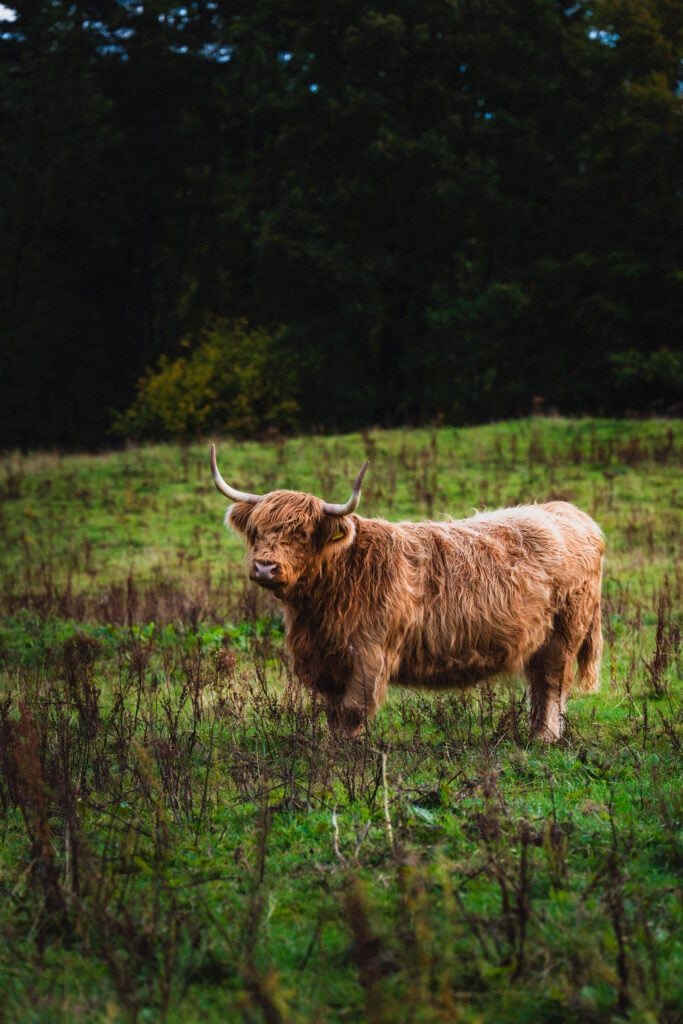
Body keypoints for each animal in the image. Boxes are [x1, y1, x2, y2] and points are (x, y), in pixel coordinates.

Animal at [211, 445, 604, 741]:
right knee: (541, 686)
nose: (264, 567)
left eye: (302, 534)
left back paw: (544, 739)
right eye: (257, 530)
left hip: (564, 634)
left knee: (551, 684)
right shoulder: (326, 659)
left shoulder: (369, 653)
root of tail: (569, 513)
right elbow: (334, 713)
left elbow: (353, 711)